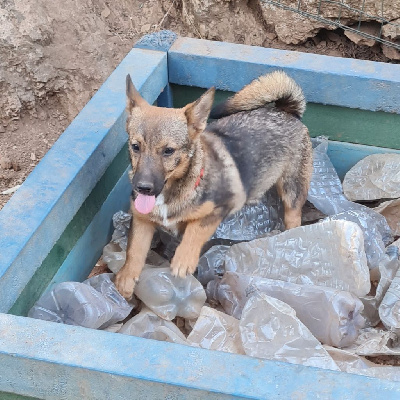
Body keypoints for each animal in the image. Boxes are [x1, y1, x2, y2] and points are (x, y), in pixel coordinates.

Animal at [115, 69, 312, 300]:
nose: (143, 188)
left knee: (293, 217)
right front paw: (126, 278)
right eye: (135, 146)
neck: (173, 192)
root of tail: (286, 111)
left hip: (292, 193)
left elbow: (194, 230)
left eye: (168, 151)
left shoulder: (220, 208)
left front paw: (183, 259)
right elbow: (134, 249)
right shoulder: (142, 219)